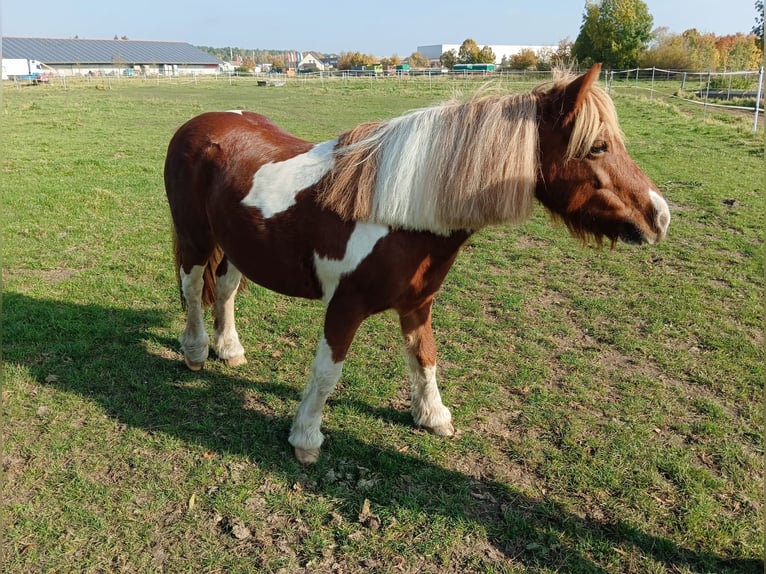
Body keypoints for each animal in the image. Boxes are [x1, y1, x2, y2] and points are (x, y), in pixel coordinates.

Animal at [165, 65, 668, 466]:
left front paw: (433, 416)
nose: (659, 216)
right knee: (192, 290)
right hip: (195, 239)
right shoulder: (343, 308)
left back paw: (229, 349)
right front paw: (306, 437)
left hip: (235, 247)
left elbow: (425, 358)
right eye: (598, 147)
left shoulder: (418, 303)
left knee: (224, 290)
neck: (401, 211)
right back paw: (196, 351)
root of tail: (201, 123)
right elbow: (327, 373)